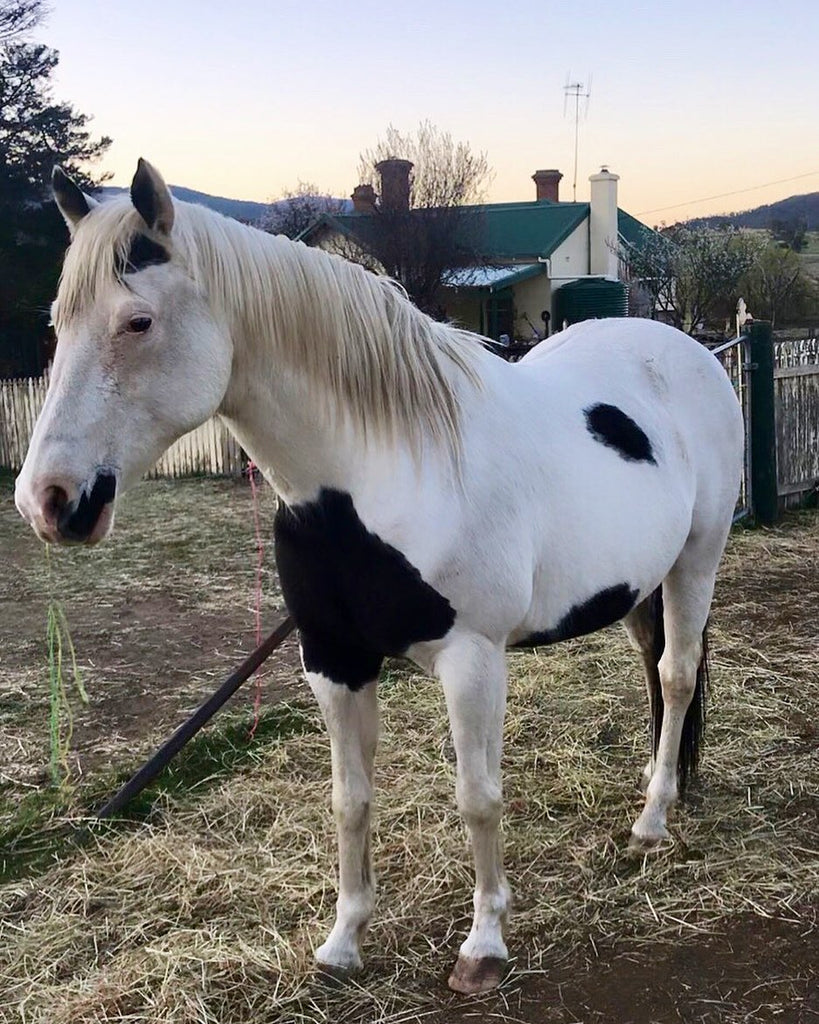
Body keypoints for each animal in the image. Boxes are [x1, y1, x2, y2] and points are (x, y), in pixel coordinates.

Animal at [14, 159, 741, 991]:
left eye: (137, 322)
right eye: (58, 324)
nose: (47, 500)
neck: (382, 472)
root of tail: (686, 349)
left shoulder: (472, 662)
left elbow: (477, 798)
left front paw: (483, 946)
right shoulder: (333, 661)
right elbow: (350, 801)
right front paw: (343, 941)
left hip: (696, 558)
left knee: (677, 674)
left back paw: (652, 818)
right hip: (636, 585)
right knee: (655, 673)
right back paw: (662, 786)